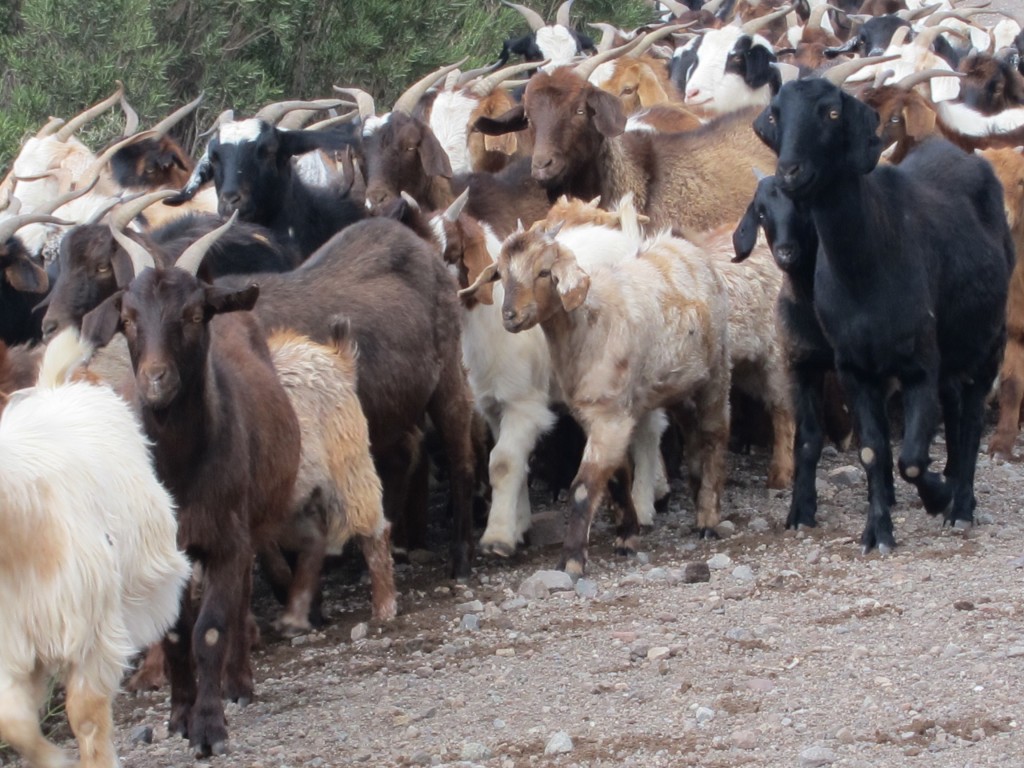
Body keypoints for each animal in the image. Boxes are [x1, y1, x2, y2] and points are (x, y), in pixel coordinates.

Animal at [79, 214, 303, 753]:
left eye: (195, 314)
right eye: (128, 318)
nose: (156, 380)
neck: (180, 474)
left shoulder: (226, 538)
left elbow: (210, 631)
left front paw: (209, 727)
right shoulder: (164, 553)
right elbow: (176, 634)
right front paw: (180, 716)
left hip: (252, 525)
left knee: (241, 596)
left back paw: (239, 683)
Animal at [464, 224, 737, 577]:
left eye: (543, 272)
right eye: (501, 274)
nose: (510, 316)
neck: (590, 324)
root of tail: (682, 245)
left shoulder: (610, 416)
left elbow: (583, 487)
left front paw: (572, 559)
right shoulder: (596, 415)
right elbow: (618, 478)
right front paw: (627, 537)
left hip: (717, 369)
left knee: (715, 434)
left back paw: (707, 518)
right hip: (678, 382)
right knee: (691, 433)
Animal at [757, 79, 1011, 552]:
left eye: (831, 113)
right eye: (776, 113)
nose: (790, 172)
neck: (865, 272)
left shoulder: (919, 364)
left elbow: (911, 458)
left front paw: (938, 496)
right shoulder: (854, 368)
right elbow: (873, 450)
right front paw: (877, 532)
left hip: (990, 341)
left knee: (970, 423)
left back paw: (961, 506)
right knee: (954, 412)